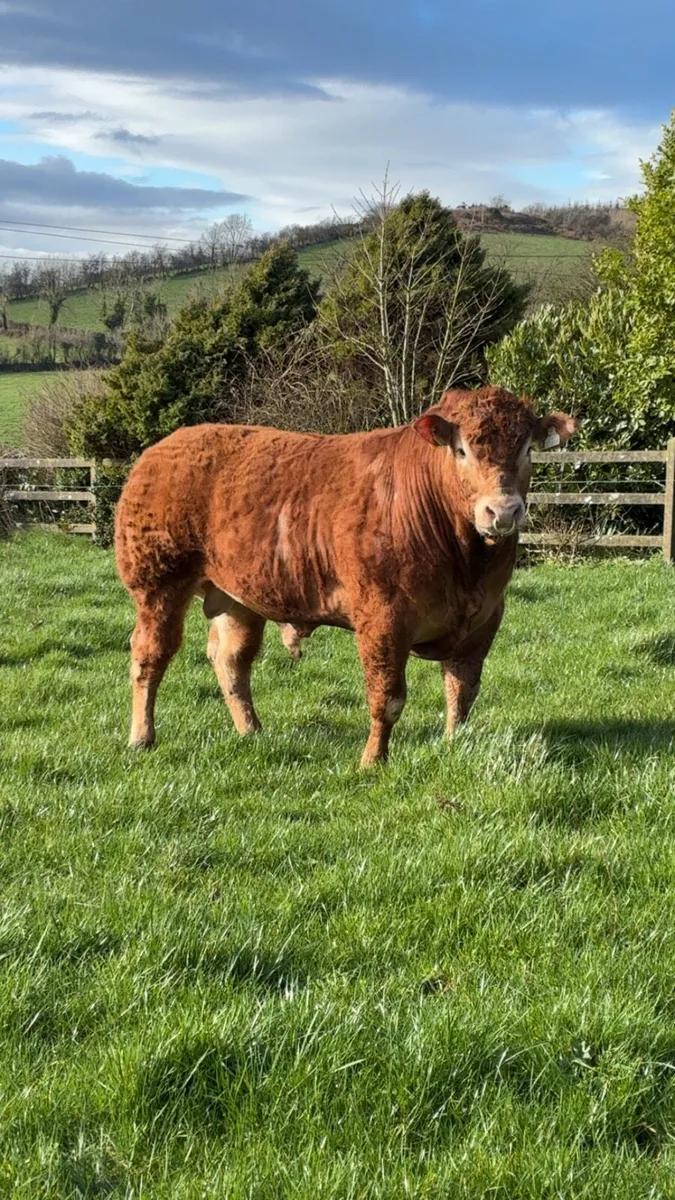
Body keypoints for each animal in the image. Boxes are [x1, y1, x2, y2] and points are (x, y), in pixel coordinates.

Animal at [115, 386, 575, 767]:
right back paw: (142, 737)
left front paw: (453, 745)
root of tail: (164, 447)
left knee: (231, 660)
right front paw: (373, 761)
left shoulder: (484, 619)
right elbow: (388, 697)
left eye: (528, 449)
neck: (465, 563)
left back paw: (251, 731)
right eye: (461, 450)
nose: (503, 511)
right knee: (150, 655)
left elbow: (462, 691)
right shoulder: (382, 618)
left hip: (238, 596)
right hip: (158, 582)